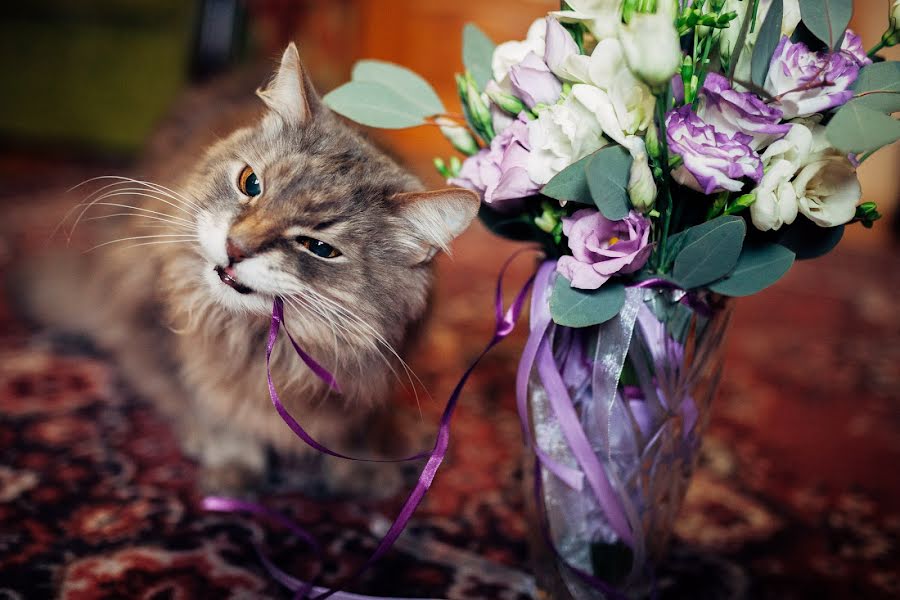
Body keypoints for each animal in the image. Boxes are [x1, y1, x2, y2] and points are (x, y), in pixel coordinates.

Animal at [17, 43, 482, 496]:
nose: (235, 247)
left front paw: (363, 470)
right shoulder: (169, 334)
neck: (259, 342)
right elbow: (214, 405)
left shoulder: (369, 375)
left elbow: (355, 426)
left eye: (319, 248)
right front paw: (233, 466)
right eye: (250, 184)